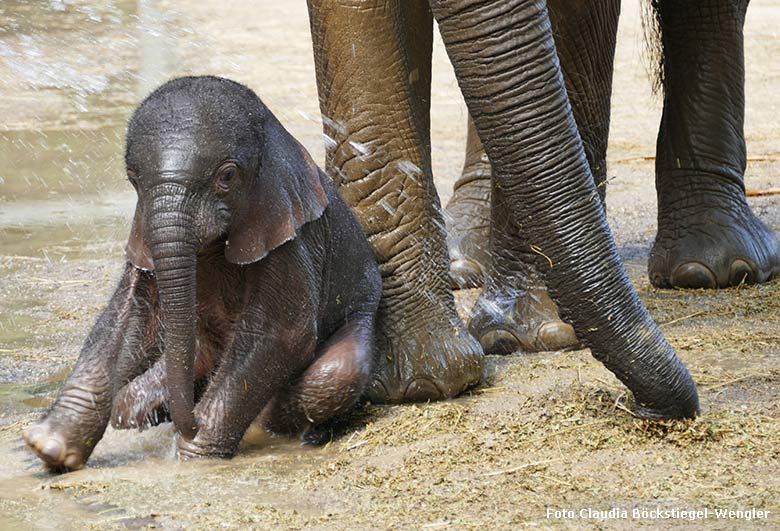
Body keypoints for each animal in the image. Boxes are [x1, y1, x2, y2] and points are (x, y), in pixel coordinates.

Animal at [25, 76, 386, 470]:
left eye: (227, 177)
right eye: (133, 178)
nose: (192, 422)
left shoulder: (291, 236)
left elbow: (279, 334)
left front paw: (196, 453)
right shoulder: (144, 225)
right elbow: (130, 315)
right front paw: (49, 447)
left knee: (336, 374)